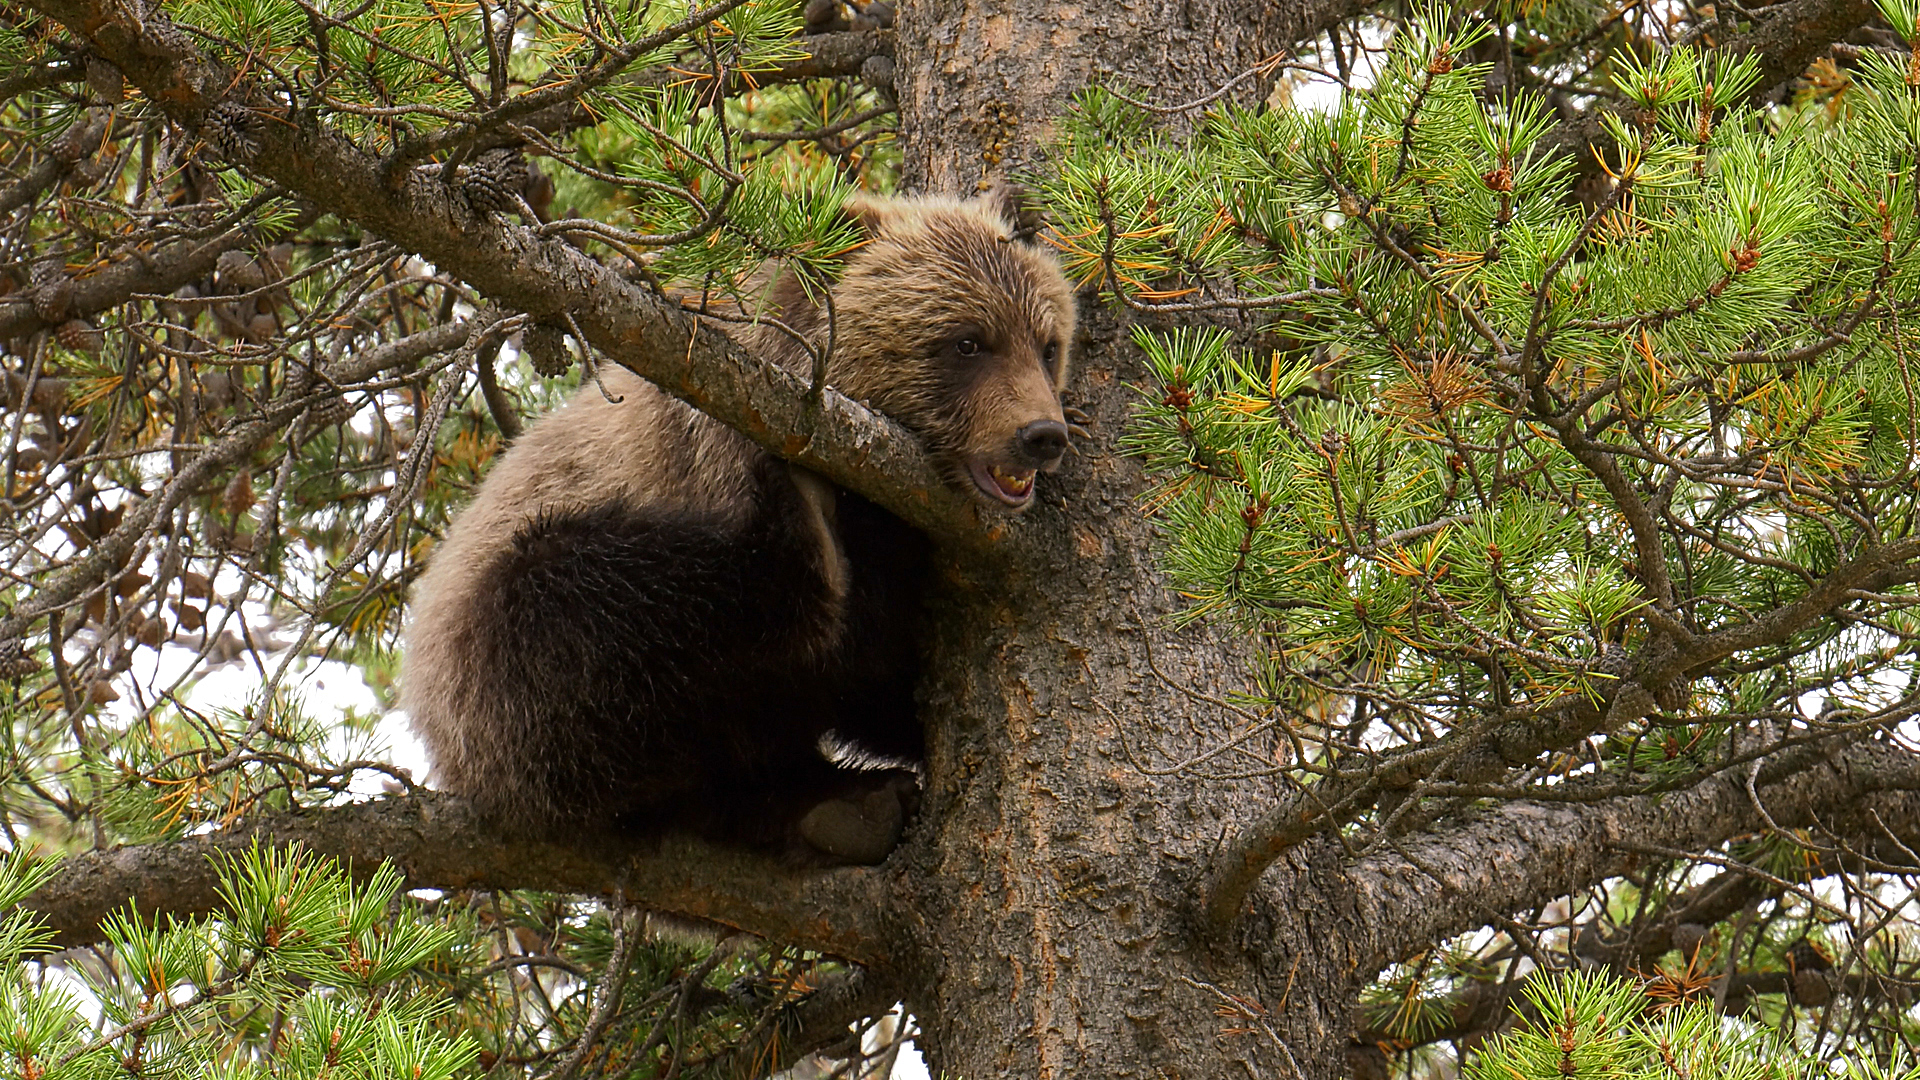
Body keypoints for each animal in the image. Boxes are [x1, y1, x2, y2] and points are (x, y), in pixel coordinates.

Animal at [401, 184, 1082, 857]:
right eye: (968, 342)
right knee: (583, 598)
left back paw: (847, 806)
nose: (1042, 435)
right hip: (485, 649)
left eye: (1048, 345)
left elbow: (882, 674)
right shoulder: (710, 454)